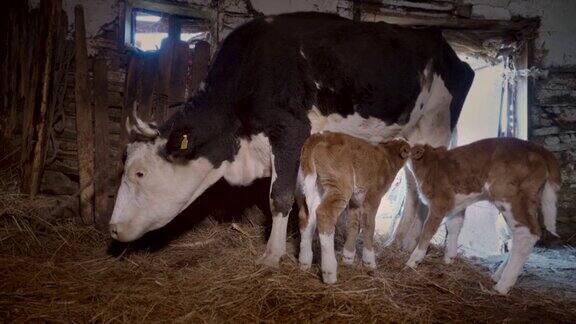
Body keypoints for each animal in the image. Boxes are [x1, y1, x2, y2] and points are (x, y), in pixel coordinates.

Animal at [109, 11, 472, 268]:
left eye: (140, 173)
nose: (112, 228)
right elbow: (301, 200)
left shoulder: (290, 132)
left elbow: (279, 197)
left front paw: (273, 254)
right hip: (412, 135)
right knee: (412, 185)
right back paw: (401, 242)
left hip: (435, 127)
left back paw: (411, 246)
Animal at [296, 132, 410, 284]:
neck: (388, 156)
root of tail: (321, 135)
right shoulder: (373, 196)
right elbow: (369, 225)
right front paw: (369, 261)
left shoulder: (355, 201)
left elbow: (353, 224)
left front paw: (348, 257)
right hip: (340, 184)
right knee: (324, 213)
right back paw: (329, 272)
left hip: (315, 185)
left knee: (306, 216)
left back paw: (304, 262)